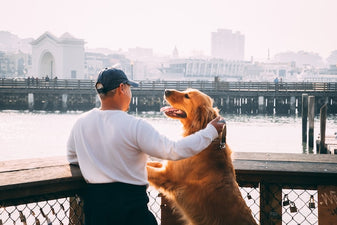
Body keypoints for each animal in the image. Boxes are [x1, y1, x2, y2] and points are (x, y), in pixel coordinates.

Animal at [146, 89, 256, 224]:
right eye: (185, 91)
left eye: (187, 96)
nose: (166, 91)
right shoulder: (165, 167)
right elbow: (150, 163)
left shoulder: (166, 175)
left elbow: (147, 170)